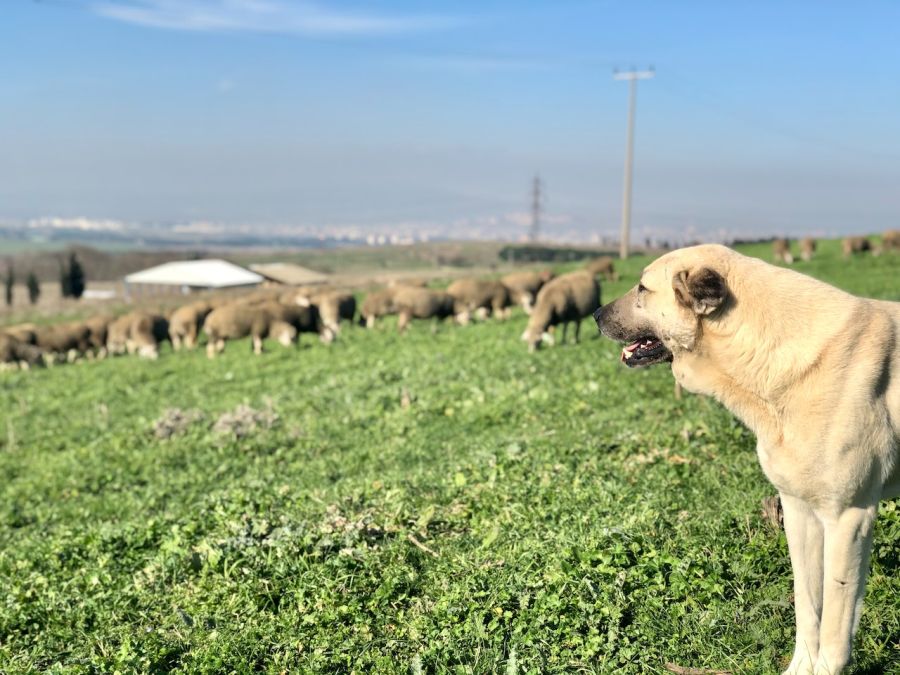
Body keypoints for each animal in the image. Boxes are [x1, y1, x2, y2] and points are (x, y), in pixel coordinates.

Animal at [596, 244, 896, 675]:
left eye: (642, 288)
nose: (595, 314)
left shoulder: (848, 519)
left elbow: (835, 628)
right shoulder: (799, 512)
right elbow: (808, 606)